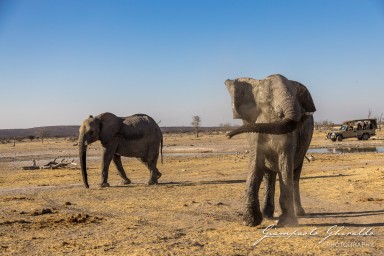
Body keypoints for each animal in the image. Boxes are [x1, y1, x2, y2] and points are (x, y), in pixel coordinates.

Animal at [225, 73, 316, 226]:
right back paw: (267, 215)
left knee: (295, 174)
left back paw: (299, 213)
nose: (227, 135)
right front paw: (250, 222)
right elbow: (255, 165)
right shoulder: (255, 129)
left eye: (296, 96)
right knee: (269, 175)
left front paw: (287, 222)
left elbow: (285, 163)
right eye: (269, 98)